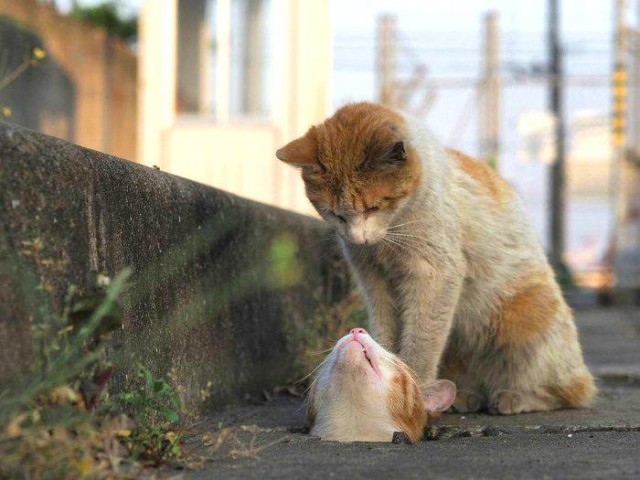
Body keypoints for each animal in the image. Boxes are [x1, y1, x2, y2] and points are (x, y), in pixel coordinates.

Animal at [278, 102, 596, 416]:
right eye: (335, 214)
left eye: (373, 207)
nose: (358, 238)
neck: (391, 236)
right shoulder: (374, 280)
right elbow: (383, 331)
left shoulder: (434, 274)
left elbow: (421, 341)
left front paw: (412, 389)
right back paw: (466, 397)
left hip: (526, 317)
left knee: (570, 390)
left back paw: (514, 397)